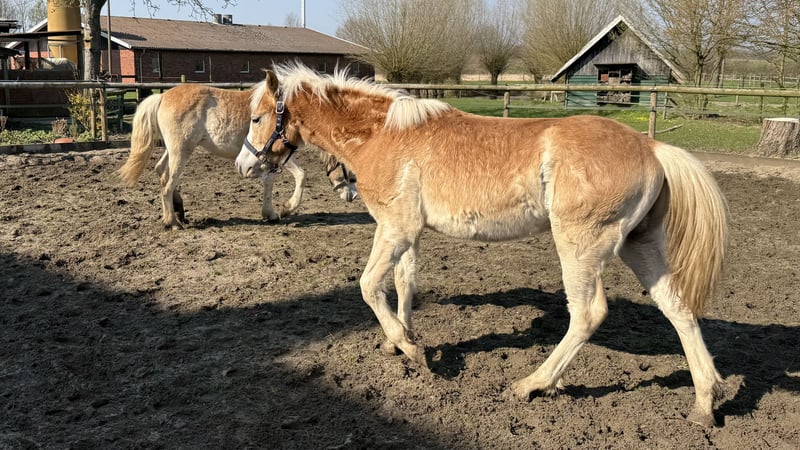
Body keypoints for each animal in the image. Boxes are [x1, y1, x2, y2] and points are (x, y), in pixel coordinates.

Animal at [118, 83, 357, 230]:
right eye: (352, 175)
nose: (353, 197)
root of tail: (162, 95)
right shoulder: (275, 156)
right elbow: (299, 176)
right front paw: (283, 209)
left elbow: (275, 180)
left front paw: (271, 212)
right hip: (181, 151)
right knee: (167, 182)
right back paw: (173, 221)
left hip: (173, 149)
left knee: (160, 171)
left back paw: (179, 210)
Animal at [235, 63, 729, 427]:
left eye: (257, 118)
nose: (244, 165)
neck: (384, 135)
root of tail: (652, 148)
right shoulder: (407, 232)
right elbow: (404, 282)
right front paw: (402, 339)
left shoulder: (395, 228)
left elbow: (369, 285)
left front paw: (411, 350)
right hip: (639, 247)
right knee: (678, 310)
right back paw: (705, 404)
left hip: (581, 246)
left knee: (588, 314)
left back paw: (532, 384)